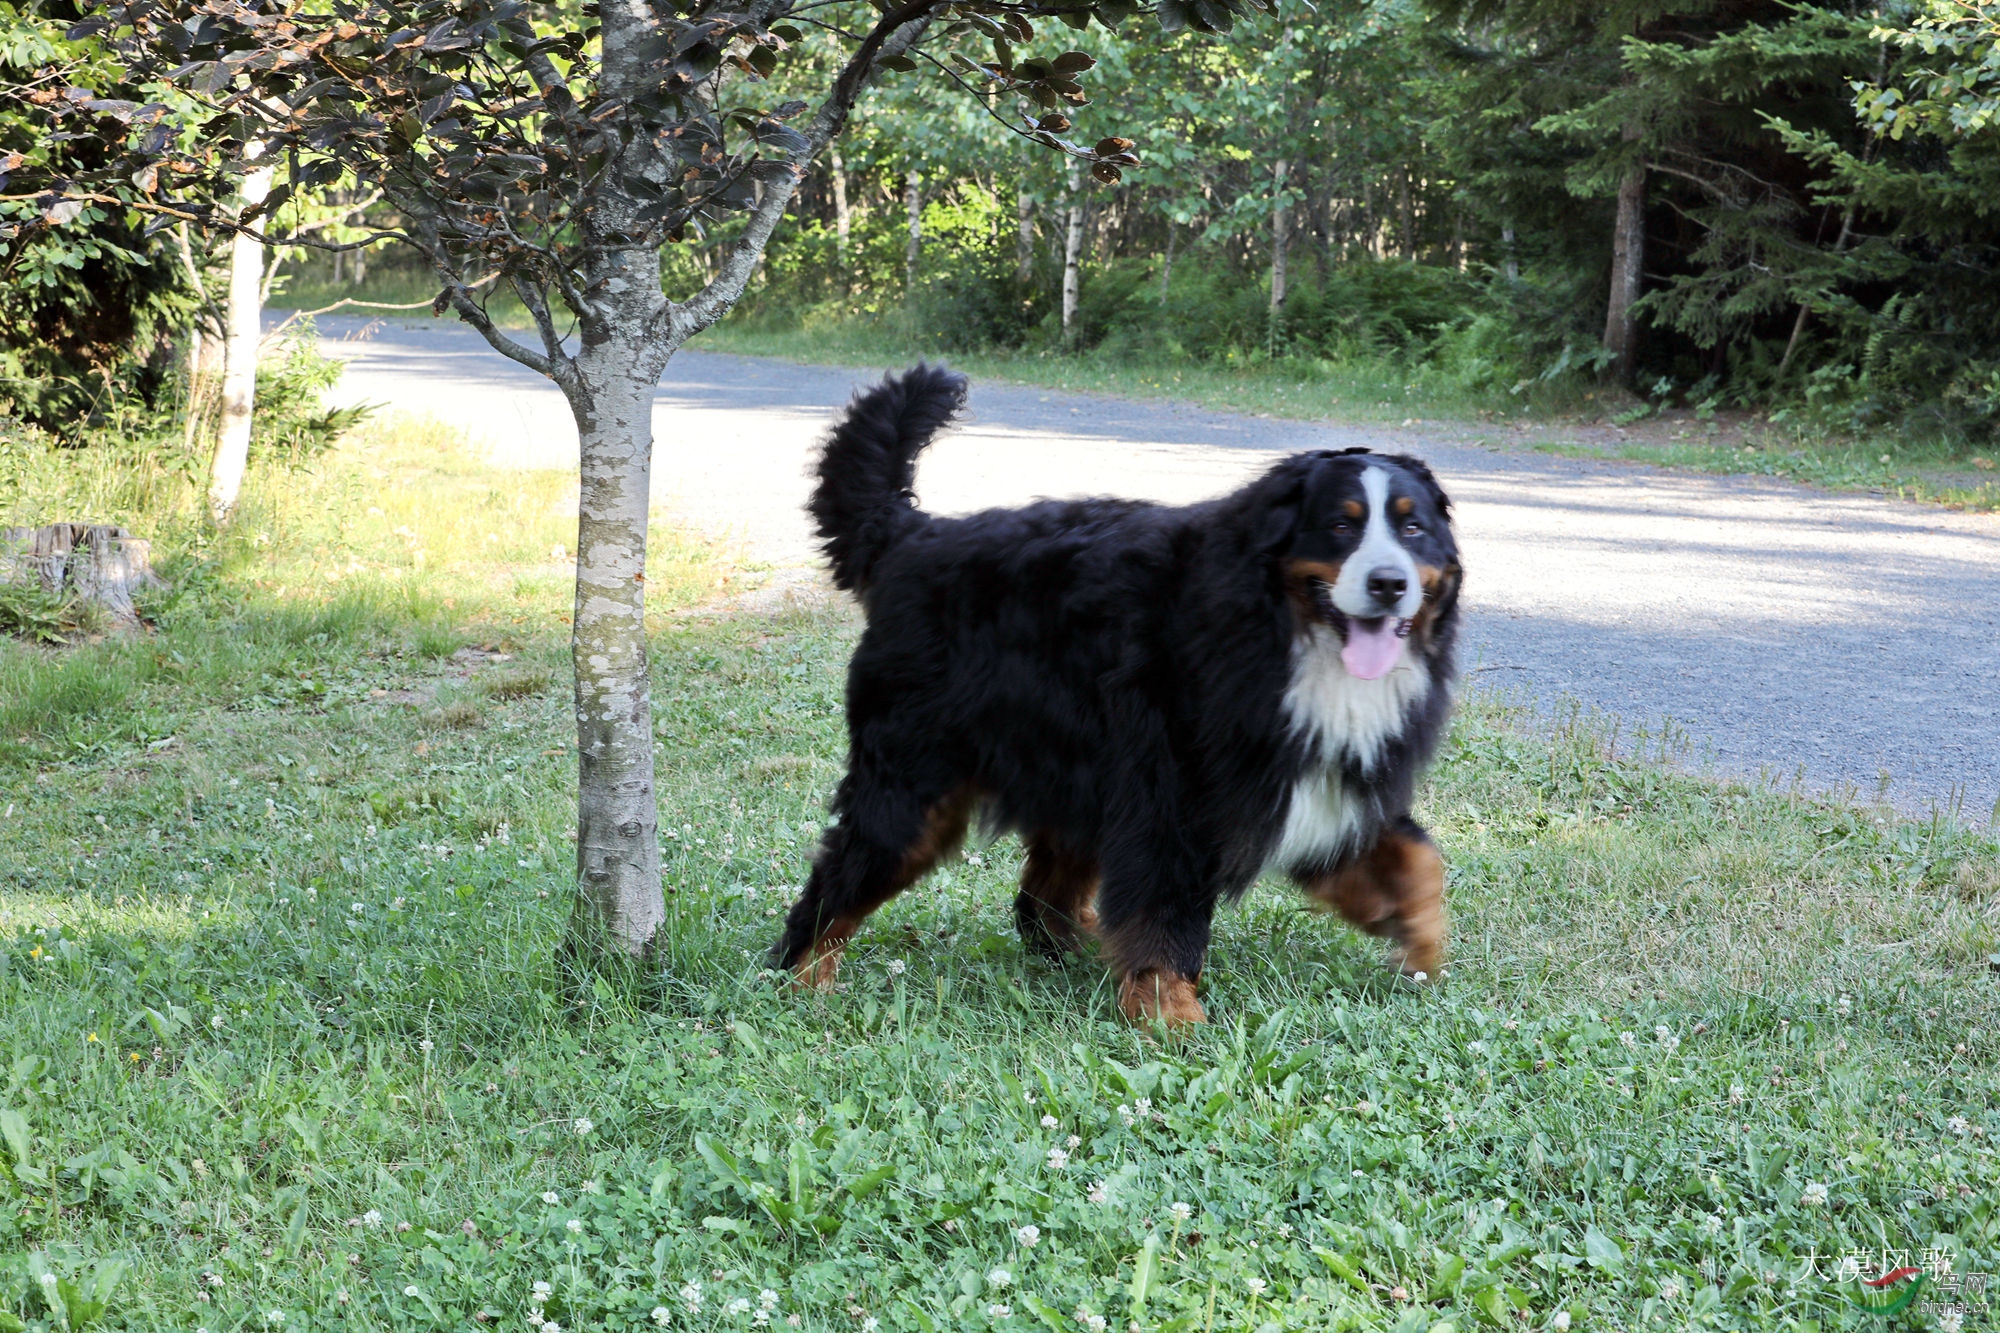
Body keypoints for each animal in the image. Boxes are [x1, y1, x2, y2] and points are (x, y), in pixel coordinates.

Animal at [772, 364, 1464, 1016]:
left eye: (1413, 530)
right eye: (1341, 527)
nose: (1388, 584)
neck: (1283, 628)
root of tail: (911, 534)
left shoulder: (1322, 776)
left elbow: (1419, 859)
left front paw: (1417, 945)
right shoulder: (1176, 799)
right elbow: (1164, 915)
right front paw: (1168, 1012)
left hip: (1075, 769)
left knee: (1043, 895)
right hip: (915, 782)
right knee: (841, 877)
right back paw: (803, 976)